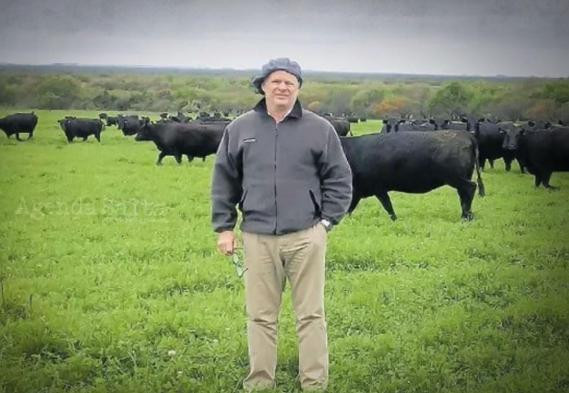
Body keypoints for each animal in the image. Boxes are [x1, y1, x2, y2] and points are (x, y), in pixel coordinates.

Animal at [340, 131, 486, 220]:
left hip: (456, 177)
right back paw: (466, 215)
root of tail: (466, 134)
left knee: (470, 188)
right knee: (463, 194)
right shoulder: (358, 190)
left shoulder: (378, 188)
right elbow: (349, 208)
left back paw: (466, 217)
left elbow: (388, 206)